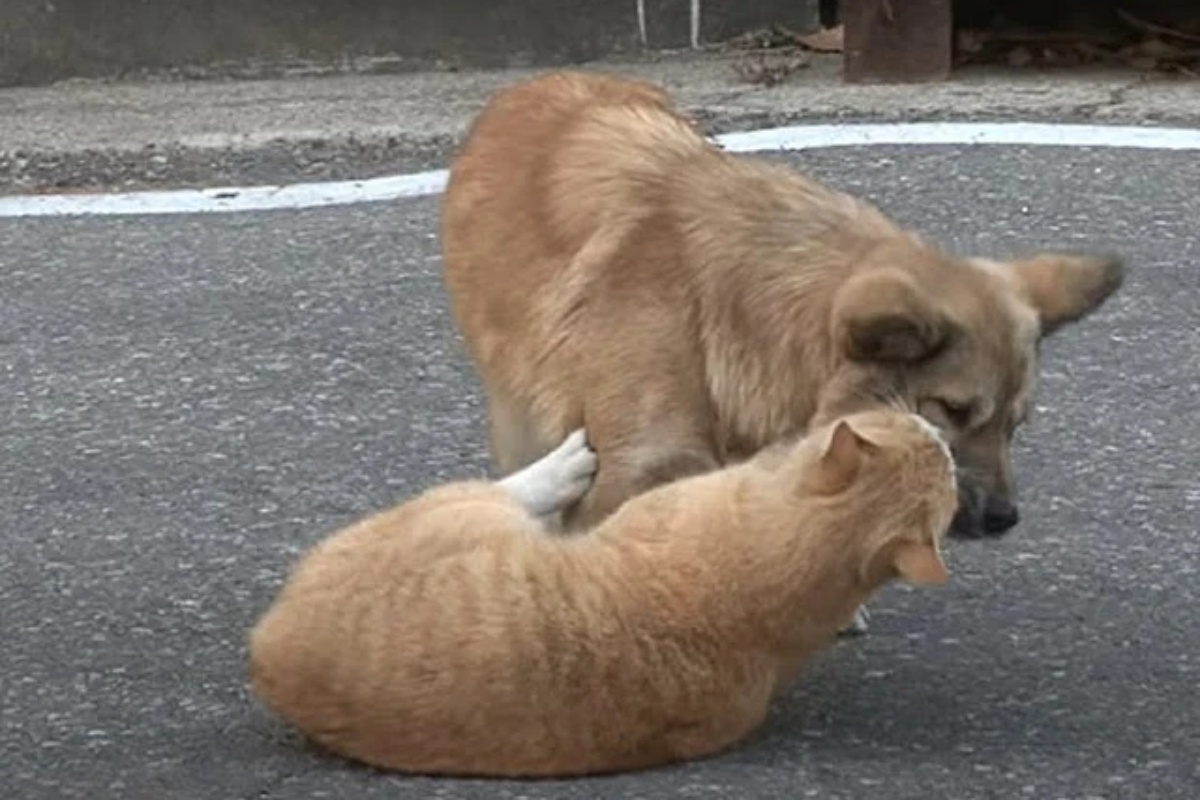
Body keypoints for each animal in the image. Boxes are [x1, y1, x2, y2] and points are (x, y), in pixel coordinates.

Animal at [250, 412, 955, 777]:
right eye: (913, 428)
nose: (943, 432)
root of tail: (268, 645)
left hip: (459, 508)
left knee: (515, 490)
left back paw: (562, 465)